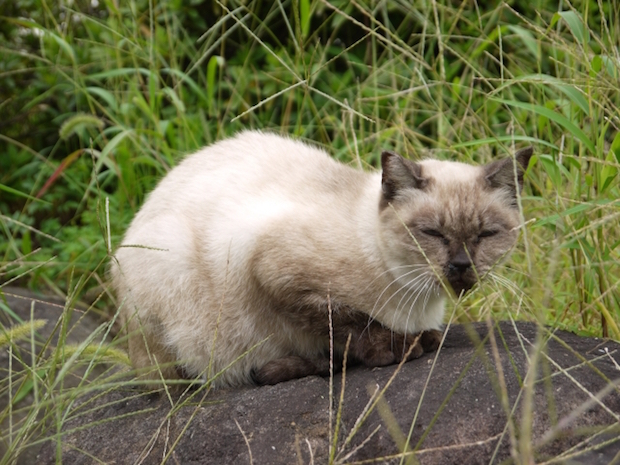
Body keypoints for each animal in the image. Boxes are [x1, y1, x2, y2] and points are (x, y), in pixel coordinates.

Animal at [109, 131, 532, 388]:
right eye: (432, 234)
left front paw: (420, 338)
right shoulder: (272, 271)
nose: (461, 266)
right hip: (169, 262)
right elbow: (350, 322)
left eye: (486, 235)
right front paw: (397, 347)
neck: (416, 300)